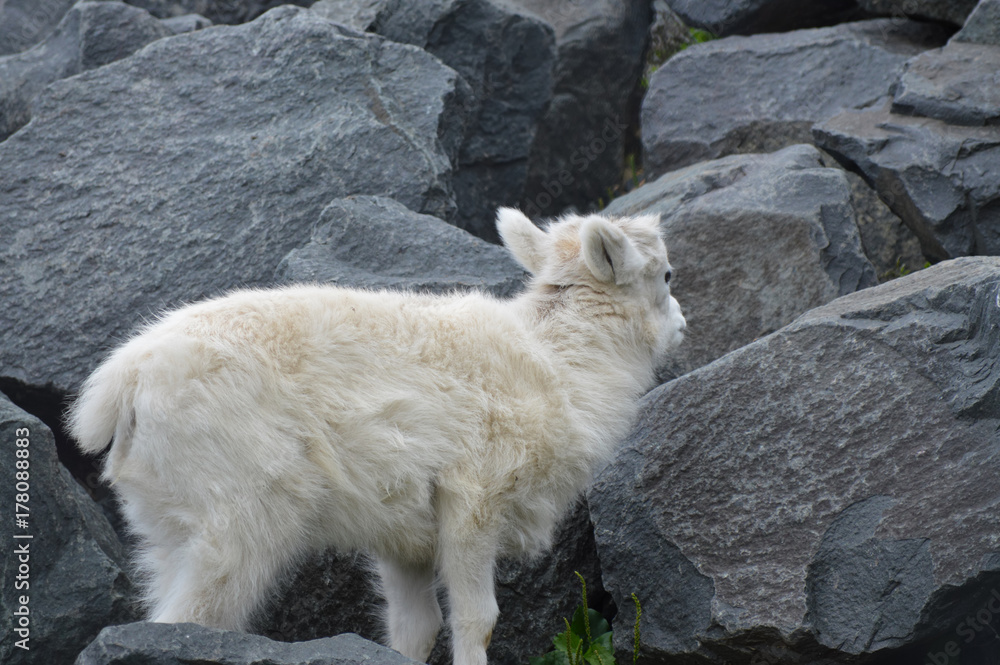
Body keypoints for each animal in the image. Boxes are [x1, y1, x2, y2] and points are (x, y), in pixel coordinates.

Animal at [67, 208, 686, 665]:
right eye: (666, 275)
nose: (683, 324)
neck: (562, 366)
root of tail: (123, 385)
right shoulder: (473, 504)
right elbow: (477, 620)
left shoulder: (404, 537)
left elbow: (415, 627)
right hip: (237, 522)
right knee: (188, 619)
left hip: (170, 527)